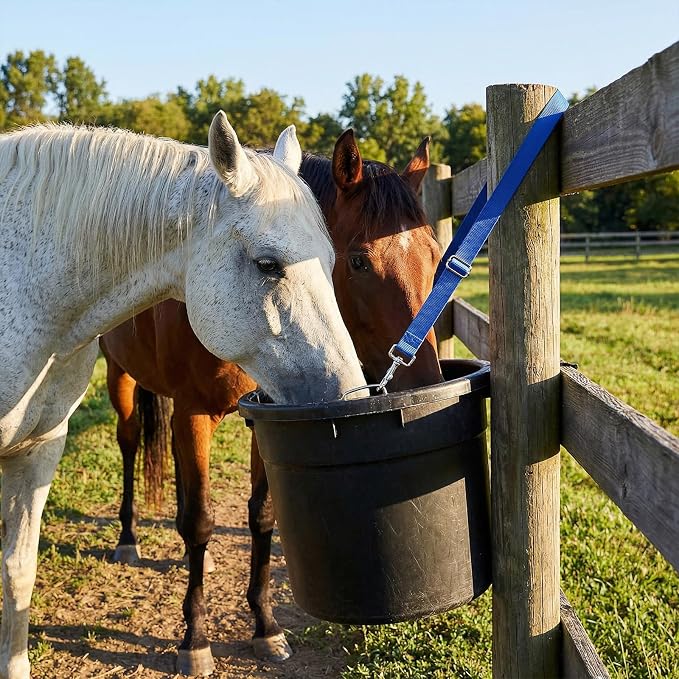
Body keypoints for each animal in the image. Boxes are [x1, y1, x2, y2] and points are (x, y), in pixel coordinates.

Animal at [0, 113, 367, 679]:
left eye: (335, 262)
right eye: (268, 265)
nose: (348, 396)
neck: (23, 285)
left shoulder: (37, 450)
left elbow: (18, 571)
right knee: (131, 444)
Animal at [100, 129, 443, 675]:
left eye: (434, 255)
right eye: (358, 260)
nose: (424, 384)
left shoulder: (268, 416)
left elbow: (261, 515)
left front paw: (265, 627)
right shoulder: (194, 413)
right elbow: (200, 520)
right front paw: (195, 640)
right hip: (121, 378)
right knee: (130, 443)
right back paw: (128, 540)